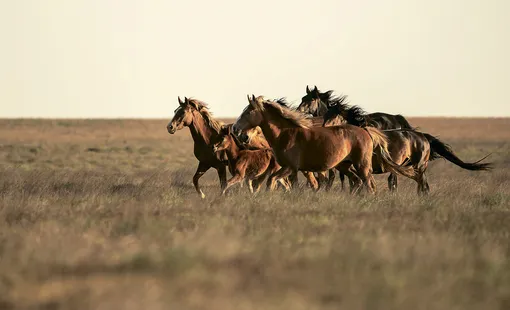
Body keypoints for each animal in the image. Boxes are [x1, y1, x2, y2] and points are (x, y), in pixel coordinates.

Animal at [233, 94, 416, 194]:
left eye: (249, 111)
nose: (235, 129)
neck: (287, 133)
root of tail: (365, 131)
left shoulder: (290, 167)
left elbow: (271, 181)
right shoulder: (290, 169)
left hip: (362, 165)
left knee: (369, 186)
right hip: (345, 165)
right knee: (357, 182)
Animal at [322, 101, 494, 194]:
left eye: (335, 115)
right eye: (325, 114)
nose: (324, 128)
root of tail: (423, 137)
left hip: (419, 166)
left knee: (423, 186)